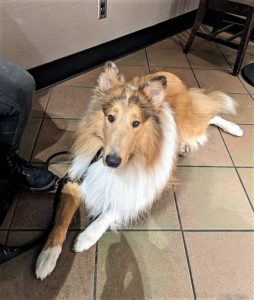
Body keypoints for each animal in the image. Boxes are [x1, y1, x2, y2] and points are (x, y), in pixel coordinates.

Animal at [35, 62, 242, 280]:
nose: (112, 161)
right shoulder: (77, 178)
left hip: (187, 123)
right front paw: (46, 258)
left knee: (210, 115)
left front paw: (86, 237)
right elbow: (61, 220)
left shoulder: (143, 189)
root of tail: (170, 74)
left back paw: (234, 128)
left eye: (136, 123)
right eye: (110, 117)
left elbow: (112, 210)